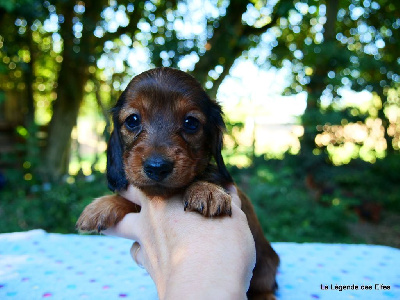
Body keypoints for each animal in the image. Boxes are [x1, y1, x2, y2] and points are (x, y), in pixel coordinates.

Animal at [76, 67, 280, 298]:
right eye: (133, 120)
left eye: (191, 123)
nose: (157, 167)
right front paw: (101, 207)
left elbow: (207, 176)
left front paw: (206, 191)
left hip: (266, 266)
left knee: (265, 288)